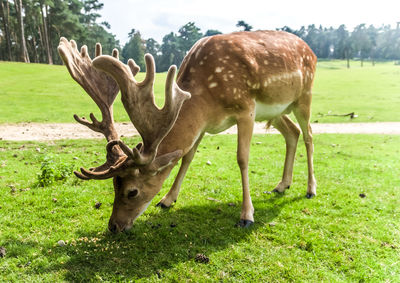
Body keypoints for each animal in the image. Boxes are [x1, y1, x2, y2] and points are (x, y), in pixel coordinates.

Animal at [57, 30, 318, 233]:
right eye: (114, 185)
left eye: (132, 191)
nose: (114, 226)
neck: (206, 98)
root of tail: (312, 51)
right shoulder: (203, 124)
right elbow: (187, 157)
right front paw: (167, 200)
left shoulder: (246, 109)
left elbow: (242, 159)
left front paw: (246, 216)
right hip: (277, 111)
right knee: (292, 132)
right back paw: (282, 185)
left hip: (304, 96)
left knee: (308, 134)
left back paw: (310, 189)